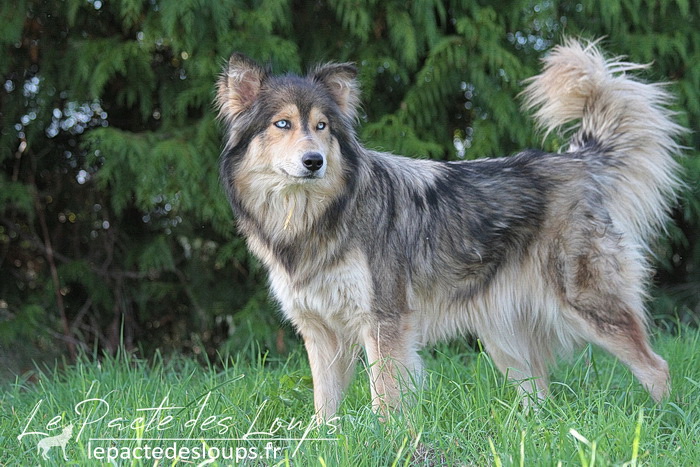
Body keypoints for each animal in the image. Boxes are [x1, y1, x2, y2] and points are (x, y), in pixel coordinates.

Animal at [215, 39, 683, 419]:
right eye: (282, 124)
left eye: (321, 126)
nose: (315, 161)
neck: (312, 218)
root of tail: (575, 161)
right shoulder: (319, 331)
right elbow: (324, 406)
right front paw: (323, 441)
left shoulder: (383, 322)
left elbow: (385, 398)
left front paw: (388, 440)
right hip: (503, 338)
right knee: (540, 394)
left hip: (587, 306)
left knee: (658, 368)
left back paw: (664, 422)